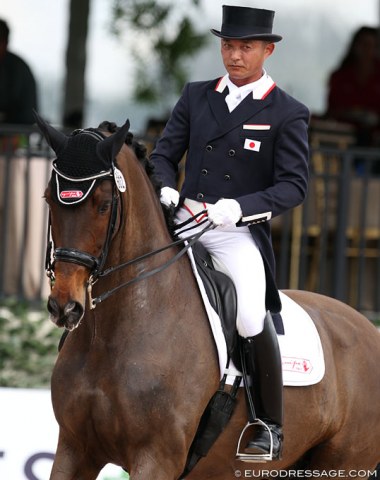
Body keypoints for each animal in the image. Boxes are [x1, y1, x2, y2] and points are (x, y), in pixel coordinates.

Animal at [35, 116, 380, 480]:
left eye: (103, 205)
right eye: (48, 199)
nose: (65, 305)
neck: (115, 332)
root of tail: (368, 327)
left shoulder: (156, 458)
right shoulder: (75, 449)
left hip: (341, 463)